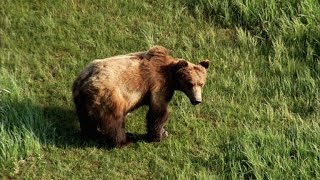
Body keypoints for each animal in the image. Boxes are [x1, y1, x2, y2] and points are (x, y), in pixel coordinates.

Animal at [71, 45, 209, 147]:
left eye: (201, 84)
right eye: (190, 83)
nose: (197, 100)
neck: (172, 76)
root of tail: (84, 81)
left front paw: (163, 132)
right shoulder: (158, 83)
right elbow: (158, 111)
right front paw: (159, 135)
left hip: (83, 100)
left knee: (86, 118)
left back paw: (91, 134)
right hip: (109, 95)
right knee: (114, 120)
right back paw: (124, 141)